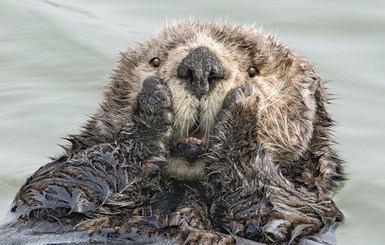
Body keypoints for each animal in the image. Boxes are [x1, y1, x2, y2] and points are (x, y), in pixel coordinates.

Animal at [0, 21, 342, 245]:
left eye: (254, 71)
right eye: (155, 60)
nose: (201, 65)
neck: (183, 187)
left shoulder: (311, 212)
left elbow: (279, 211)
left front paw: (242, 111)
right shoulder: (42, 201)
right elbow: (56, 184)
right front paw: (151, 107)